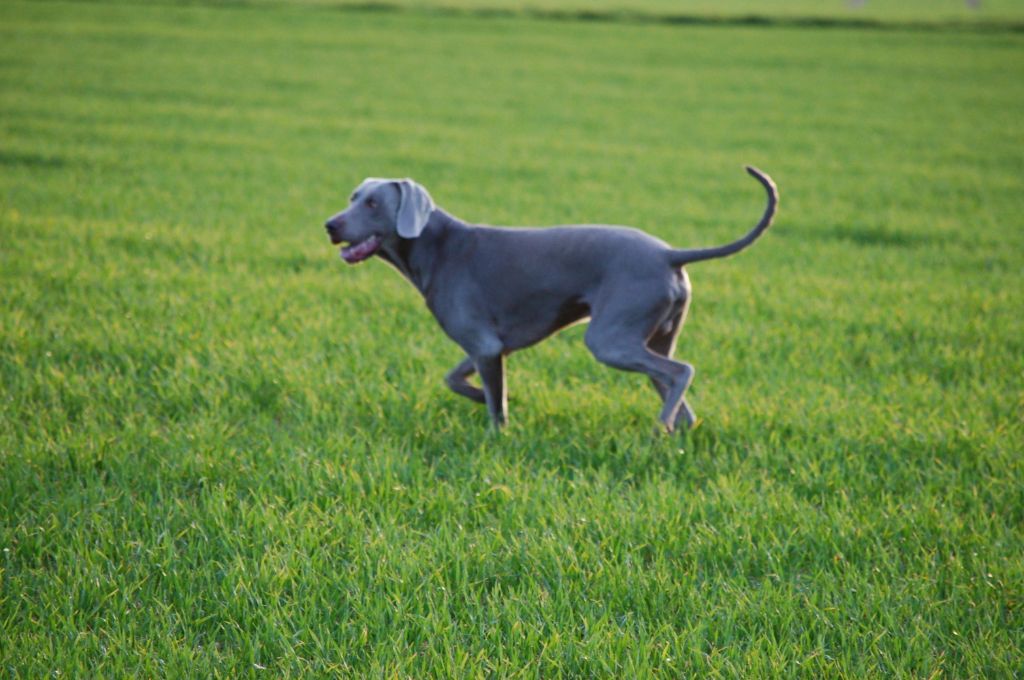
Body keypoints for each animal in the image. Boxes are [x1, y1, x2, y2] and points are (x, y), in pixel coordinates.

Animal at [323, 165, 778, 430]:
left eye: (373, 203)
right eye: (352, 198)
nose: (330, 225)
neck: (437, 247)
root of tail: (670, 254)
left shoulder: (485, 346)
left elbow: (496, 409)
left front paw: (498, 431)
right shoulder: (489, 347)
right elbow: (454, 379)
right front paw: (485, 396)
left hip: (610, 338)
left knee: (681, 371)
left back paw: (659, 428)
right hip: (657, 333)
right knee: (676, 392)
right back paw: (673, 437)